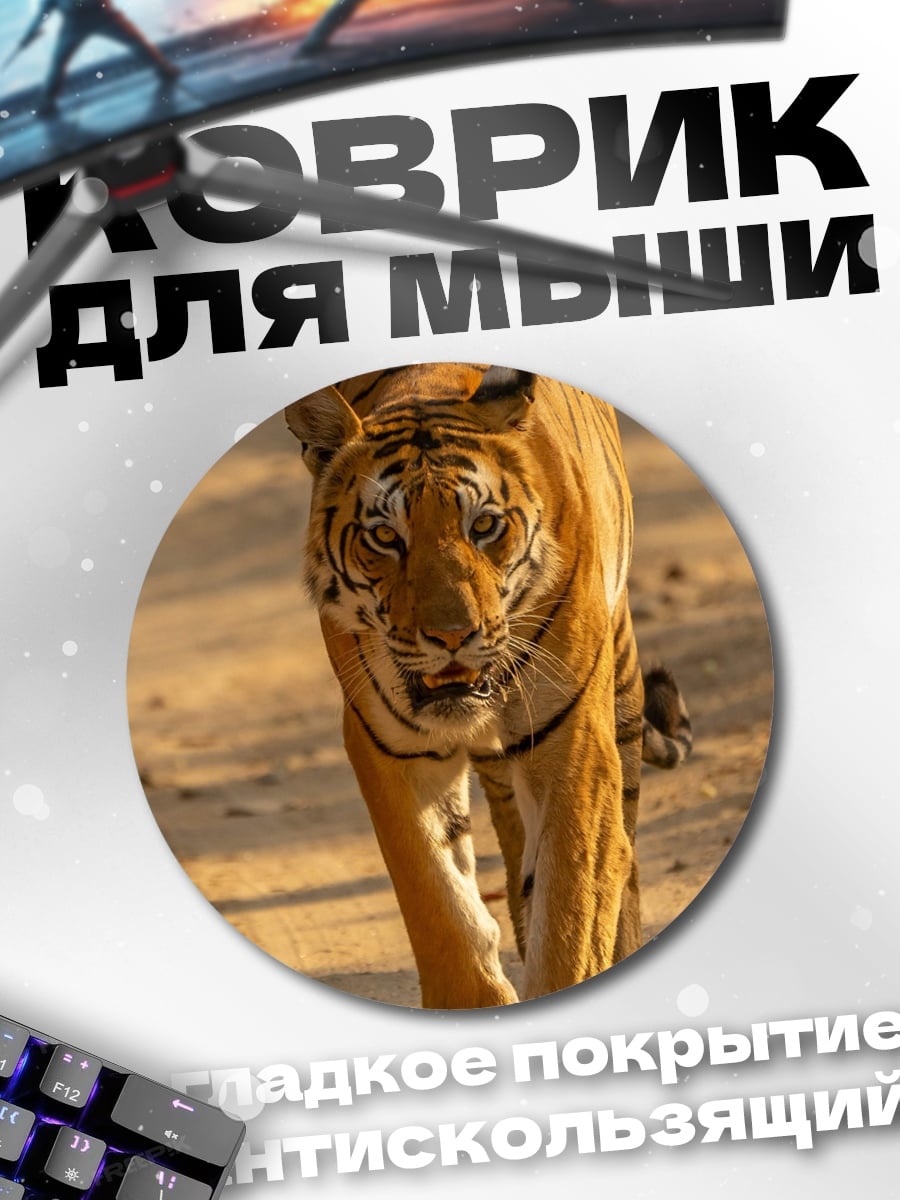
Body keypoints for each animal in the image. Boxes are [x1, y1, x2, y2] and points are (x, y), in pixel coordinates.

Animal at [285, 363, 691, 1009]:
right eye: (384, 536)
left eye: (483, 526)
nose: (452, 635)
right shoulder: (390, 749)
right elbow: (442, 910)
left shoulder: (574, 746)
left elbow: (571, 911)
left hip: (622, 697)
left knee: (620, 860)